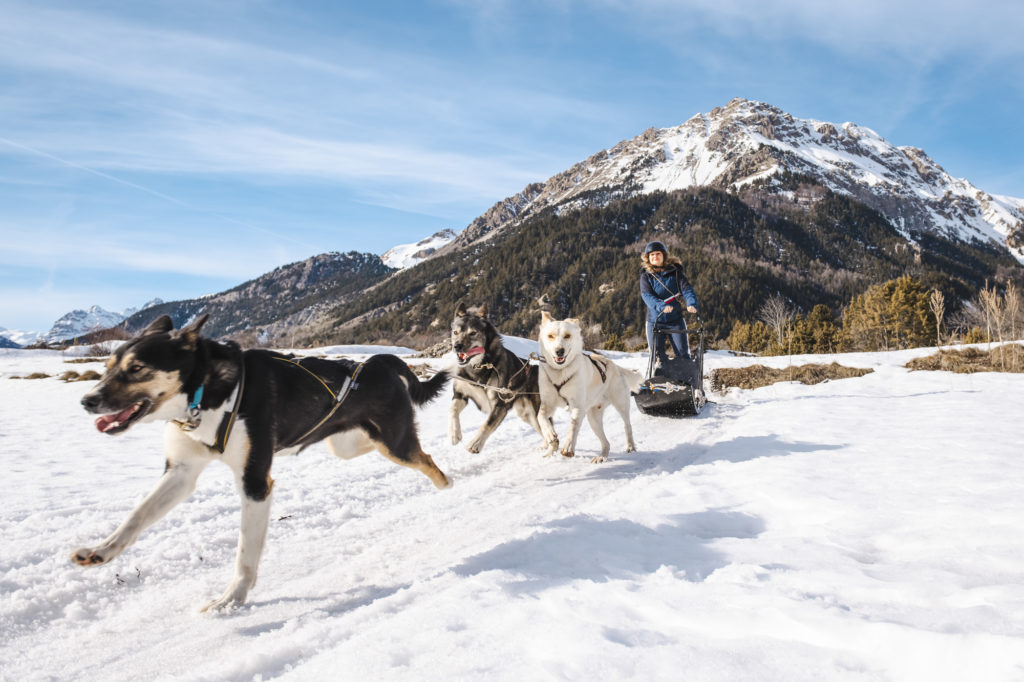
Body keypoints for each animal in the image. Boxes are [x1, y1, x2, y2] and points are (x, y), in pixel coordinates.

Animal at [74, 313, 450, 610]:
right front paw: (101, 550)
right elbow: (136, 516)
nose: (87, 401)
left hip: (395, 444)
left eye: (137, 369)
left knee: (430, 463)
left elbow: (245, 553)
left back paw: (451, 490)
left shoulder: (255, 483)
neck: (208, 393)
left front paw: (230, 600)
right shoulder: (181, 472)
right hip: (348, 444)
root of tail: (378, 362)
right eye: (107, 368)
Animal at [448, 303, 552, 450]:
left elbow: (487, 425)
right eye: (455, 333)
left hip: (536, 412)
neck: (479, 367)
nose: (457, 346)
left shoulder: (500, 405)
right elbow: (452, 410)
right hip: (527, 415)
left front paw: (475, 443)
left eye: (472, 333)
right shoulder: (460, 394)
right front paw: (454, 434)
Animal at [536, 311, 638, 462]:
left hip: (621, 404)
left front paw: (568, 447)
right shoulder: (548, 404)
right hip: (593, 419)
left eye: (567, 335)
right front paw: (550, 436)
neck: (560, 372)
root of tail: (615, 366)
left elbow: (573, 427)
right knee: (606, 442)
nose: (559, 351)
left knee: (627, 425)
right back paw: (601, 457)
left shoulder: (578, 407)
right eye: (550, 336)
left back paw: (630, 446)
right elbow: (541, 417)